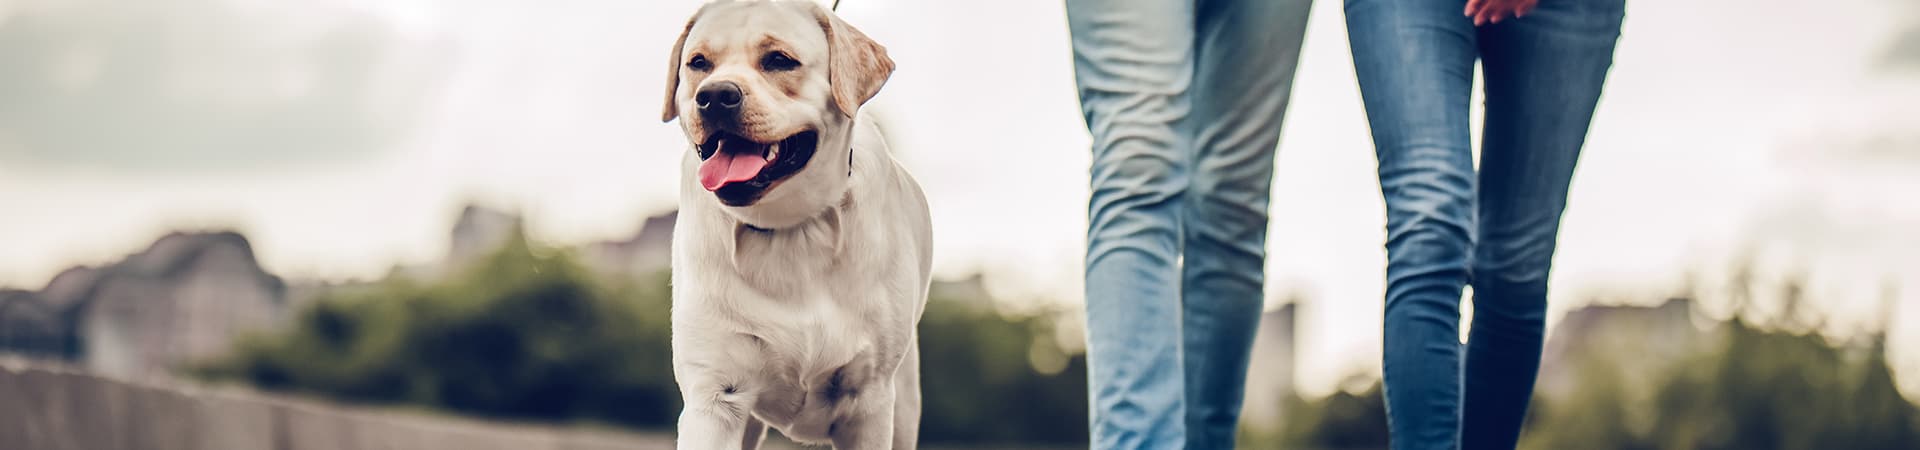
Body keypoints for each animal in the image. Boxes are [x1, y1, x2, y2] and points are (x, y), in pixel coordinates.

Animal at [660, 1, 929, 448]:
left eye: (779, 60)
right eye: (698, 63)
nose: (714, 96)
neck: (791, 229)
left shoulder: (868, 402)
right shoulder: (715, 394)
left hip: (904, 401)